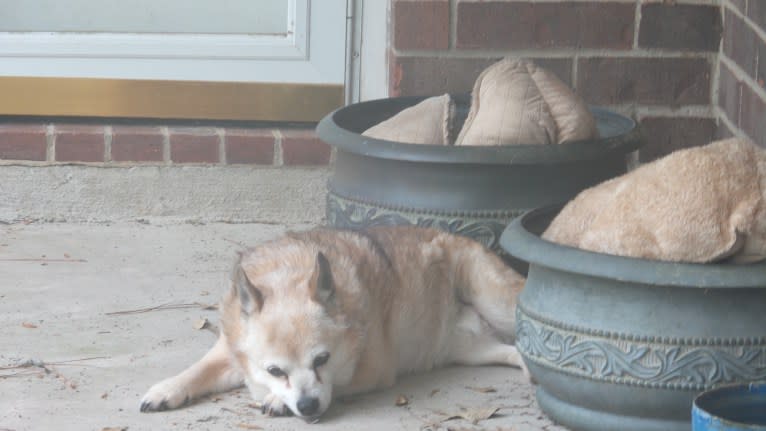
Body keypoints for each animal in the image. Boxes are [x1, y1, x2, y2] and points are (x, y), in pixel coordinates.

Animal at [141, 228, 528, 424]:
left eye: (322, 360)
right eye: (275, 370)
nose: (308, 406)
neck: (287, 270)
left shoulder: (372, 372)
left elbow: (336, 385)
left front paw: (277, 400)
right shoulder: (228, 350)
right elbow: (198, 370)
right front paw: (167, 388)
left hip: (496, 302)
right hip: (471, 349)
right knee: (512, 350)